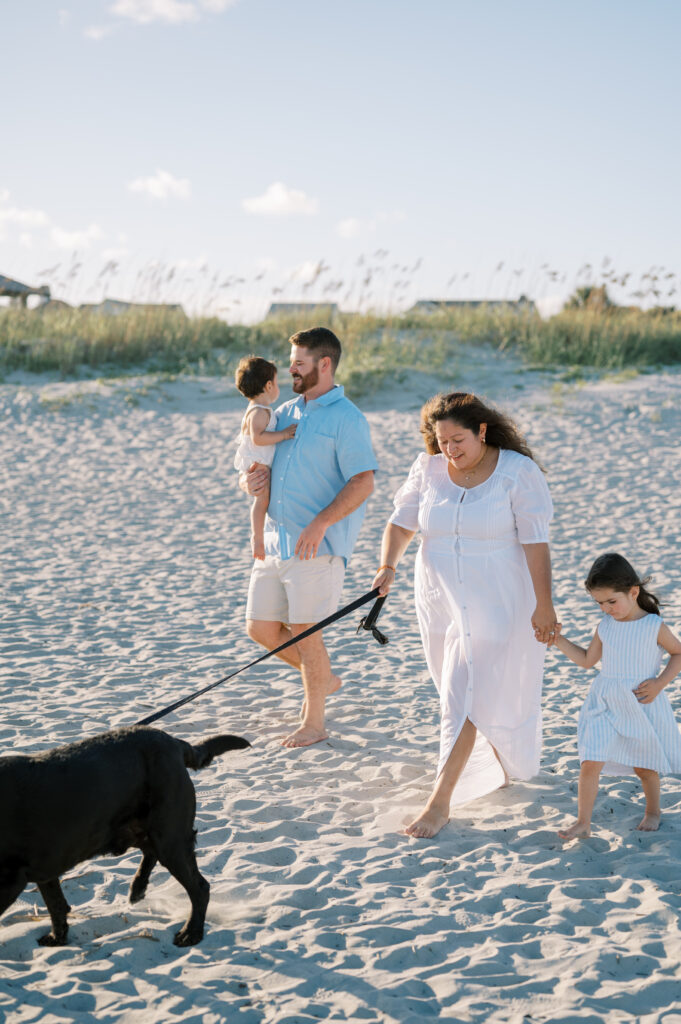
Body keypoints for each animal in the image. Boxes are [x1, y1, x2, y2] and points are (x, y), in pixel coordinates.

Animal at [0, 724, 249, 946]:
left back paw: (191, 932)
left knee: (200, 888)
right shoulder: (43, 868)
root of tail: (174, 743)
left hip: (170, 836)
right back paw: (138, 888)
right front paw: (57, 937)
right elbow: (56, 904)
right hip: (146, 830)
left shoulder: (11, 879)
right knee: (151, 854)